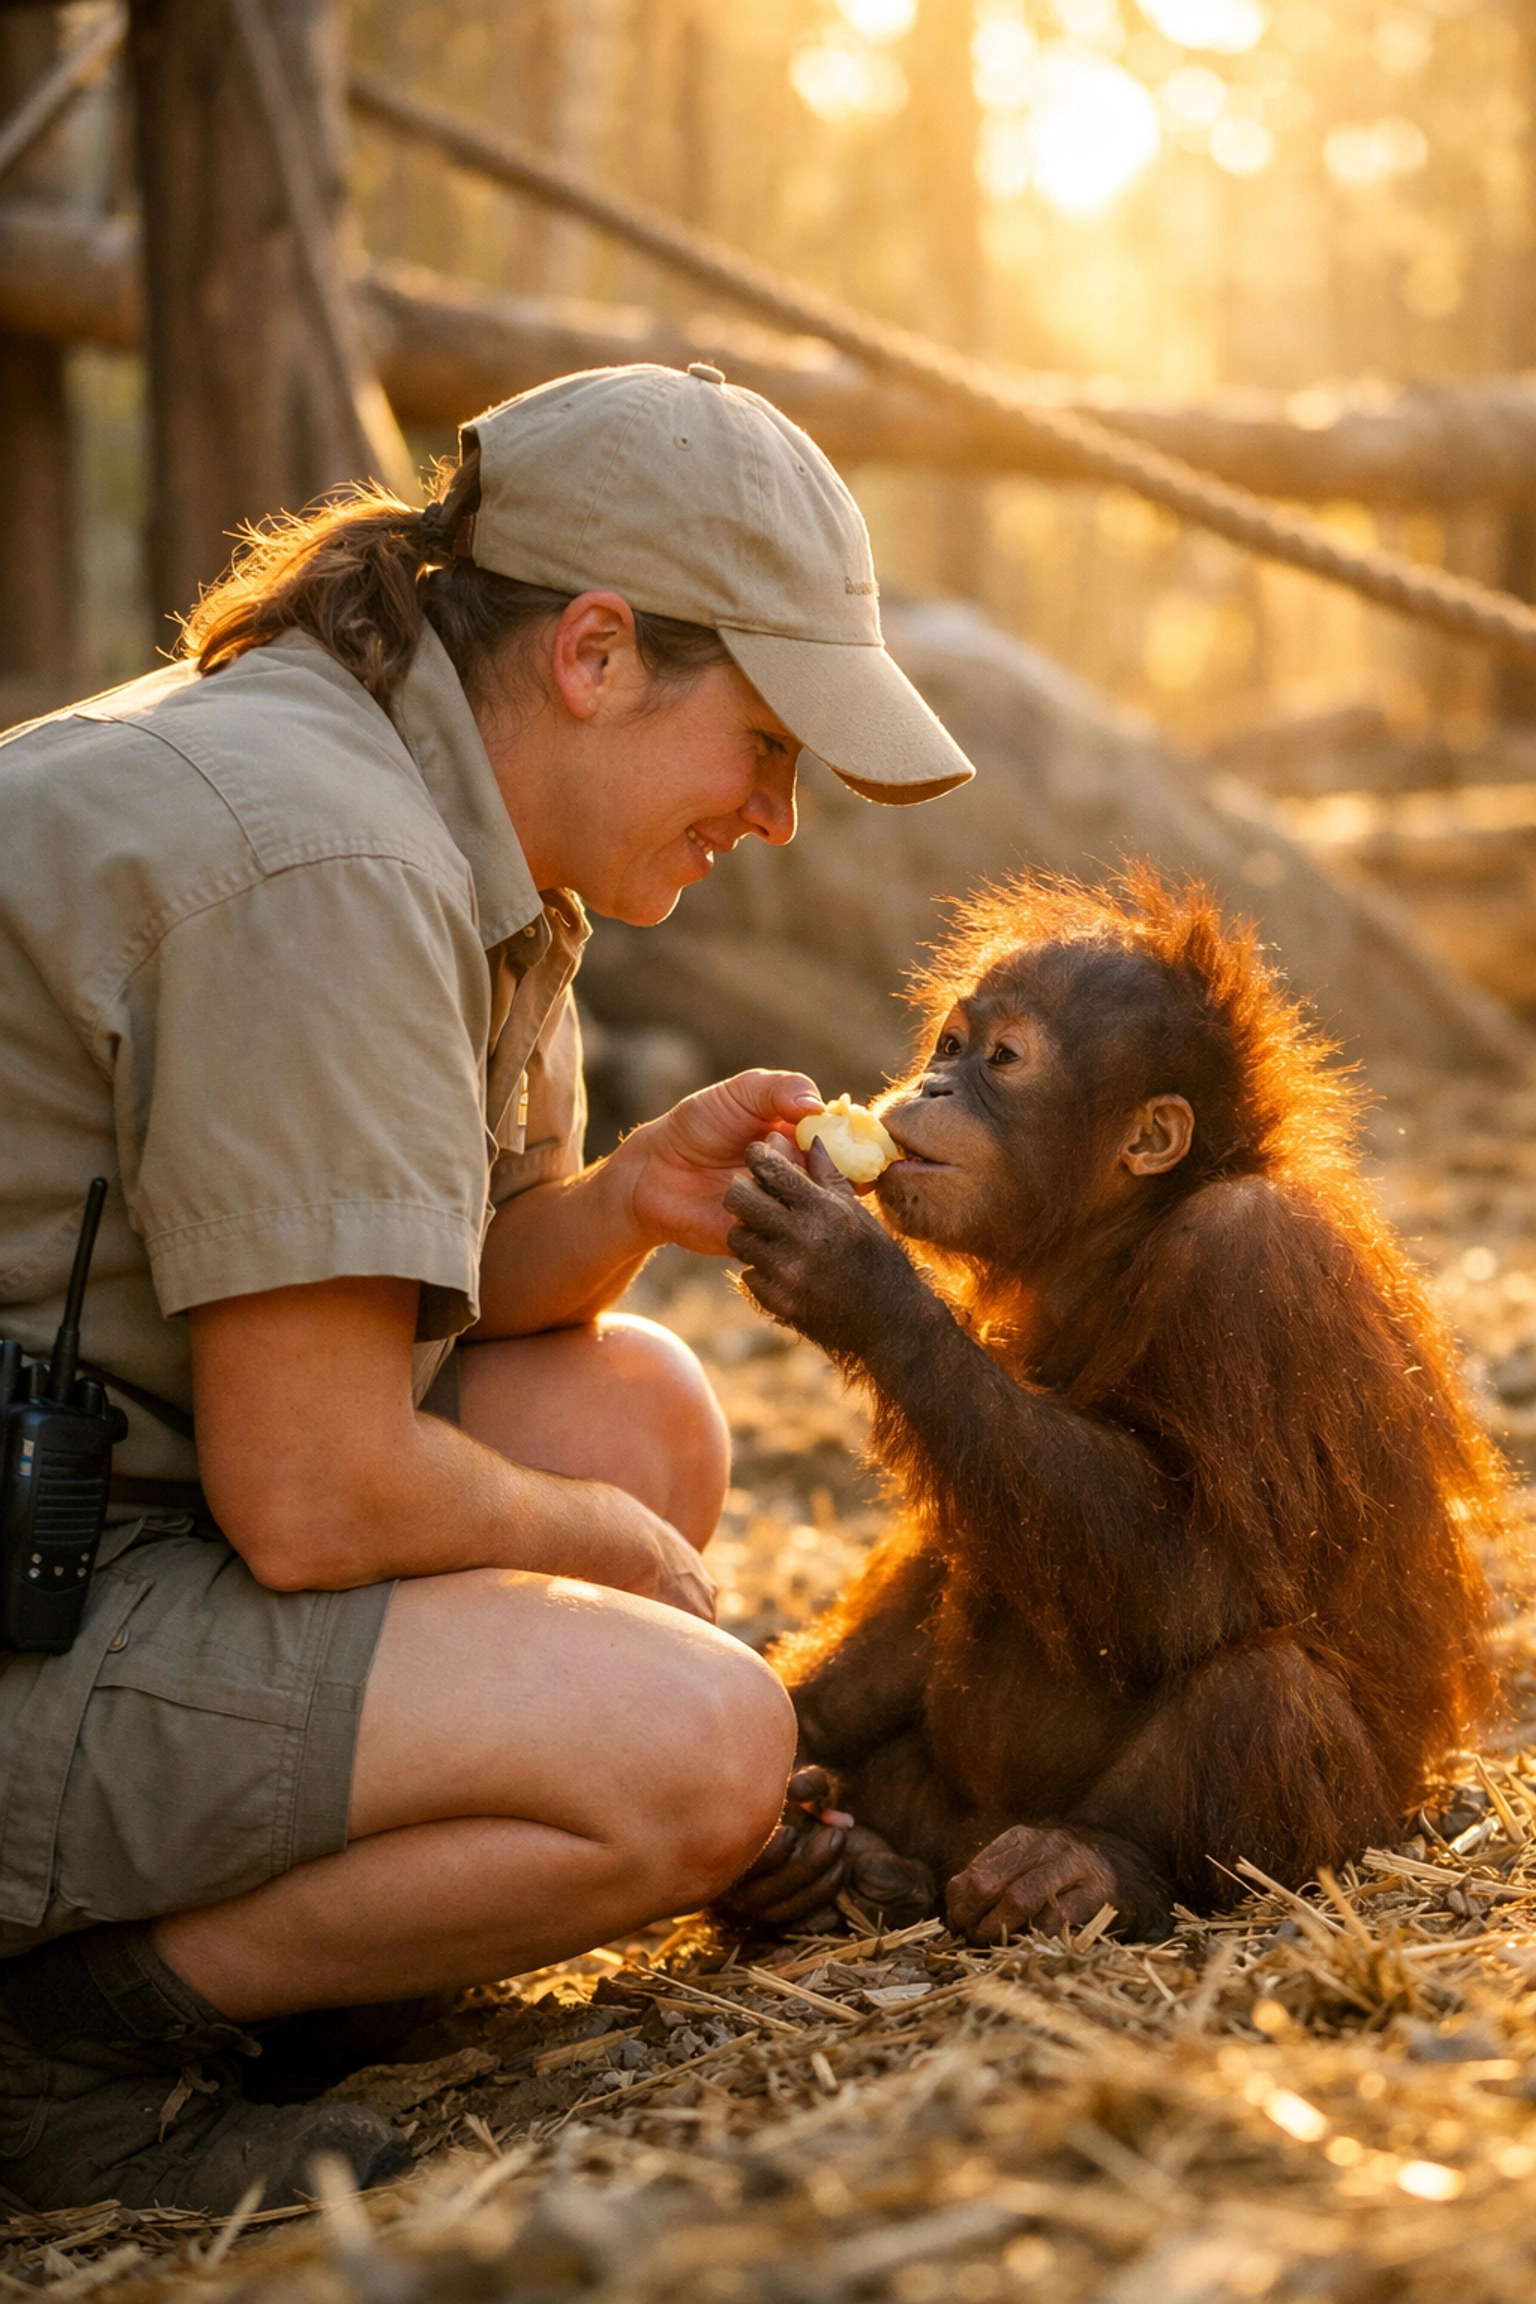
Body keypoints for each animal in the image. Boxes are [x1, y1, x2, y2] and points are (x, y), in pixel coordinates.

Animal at [719, 871, 1500, 1944]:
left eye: (1004, 1060)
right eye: (949, 1046)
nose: (931, 1088)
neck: (1128, 1233)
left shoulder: (1245, 1264)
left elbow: (1204, 1576)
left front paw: (851, 1272)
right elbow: (957, 1532)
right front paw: (794, 1725)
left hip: (1356, 1820)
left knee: (1264, 1687)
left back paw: (1082, 1869)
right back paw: (842, 1864)